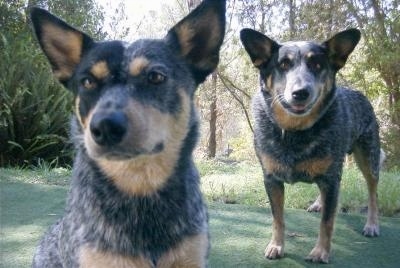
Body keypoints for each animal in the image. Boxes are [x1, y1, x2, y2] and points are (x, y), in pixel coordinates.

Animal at [241, 28, 382, 262]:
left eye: (317, 65)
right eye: (283, 64)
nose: (301, 92)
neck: (294, 133)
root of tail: (358, 93)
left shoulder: (331, 179)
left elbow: (327, 222)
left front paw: (320, 251)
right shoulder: (271, 180)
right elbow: (278, 218)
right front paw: (276, 245)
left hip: (369, 158)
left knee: (372, 192)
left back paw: (372, 224)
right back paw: (318, 203)